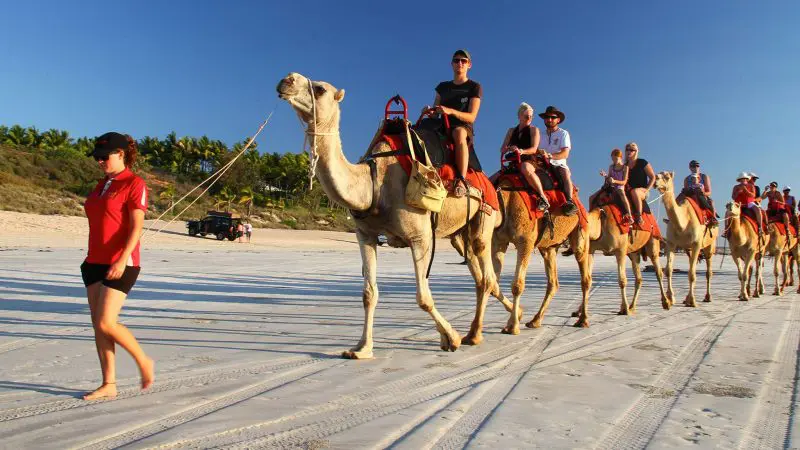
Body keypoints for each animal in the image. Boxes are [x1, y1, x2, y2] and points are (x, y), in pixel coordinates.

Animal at [277, 73, 515, 359]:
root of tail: (489, 183)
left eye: (320, 89)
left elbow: (423, 297)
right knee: (481, 278)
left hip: (484, 217)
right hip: (460, 233)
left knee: (487, 274)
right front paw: (361, 348)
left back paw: (476, 334)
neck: (373, 183)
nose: (286, 80)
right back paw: (506, 320)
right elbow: (369, 293)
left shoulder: (420, 236)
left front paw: (452, 338)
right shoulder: (365, 235)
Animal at [490, 181, 592, 333]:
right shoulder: (499, 241)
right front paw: (516, 316)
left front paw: (513, 326)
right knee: (553, 282)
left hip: (581, 232)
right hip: (548, 248)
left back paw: (583, 320)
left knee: (585, 277)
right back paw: (535, 320)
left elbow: (517, 285)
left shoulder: (526, 241)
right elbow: (493, 284)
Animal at [653, 171, 718, 307]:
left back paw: (707, 297)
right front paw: (671, 298)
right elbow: (669, 270)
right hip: (688, 249)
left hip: (710, 244)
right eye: (657, 175)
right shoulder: (671, 243)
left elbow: (692, 274)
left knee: (708, 271)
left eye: (667, 177)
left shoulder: (696, 243)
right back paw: (686, 298)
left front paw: (692, 300)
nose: (655, 181)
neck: (683, 222)